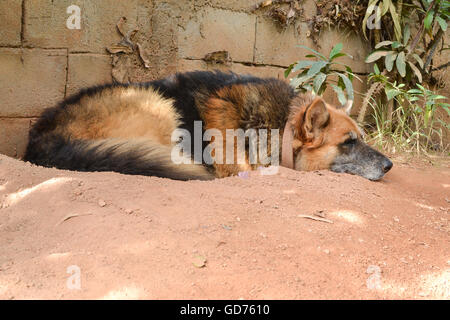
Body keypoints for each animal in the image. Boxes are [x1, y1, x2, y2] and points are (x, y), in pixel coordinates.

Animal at [23, 70, 394, 180]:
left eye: (362, 138)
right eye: (349, 142)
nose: (390, 165)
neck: (280, 128)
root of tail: (41, 138)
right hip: (157, 104)